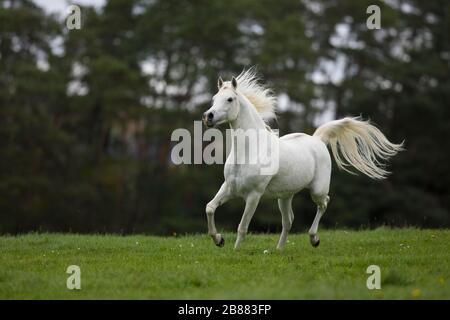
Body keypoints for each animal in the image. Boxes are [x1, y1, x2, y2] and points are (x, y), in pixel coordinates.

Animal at [202, 69, 402, 250]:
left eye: (230, 99)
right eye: (214, 98)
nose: (208, 116)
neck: (249, 151)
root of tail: (318, 139)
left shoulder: (254, 195)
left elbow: (242, 227)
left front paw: (235, 251)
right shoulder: (229, 187)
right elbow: (210, 207)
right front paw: (219, 240)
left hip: (317, 190)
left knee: (324, 203)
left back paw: (314, 239)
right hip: (284, 196)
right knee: (288, 220)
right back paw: (279, 250)